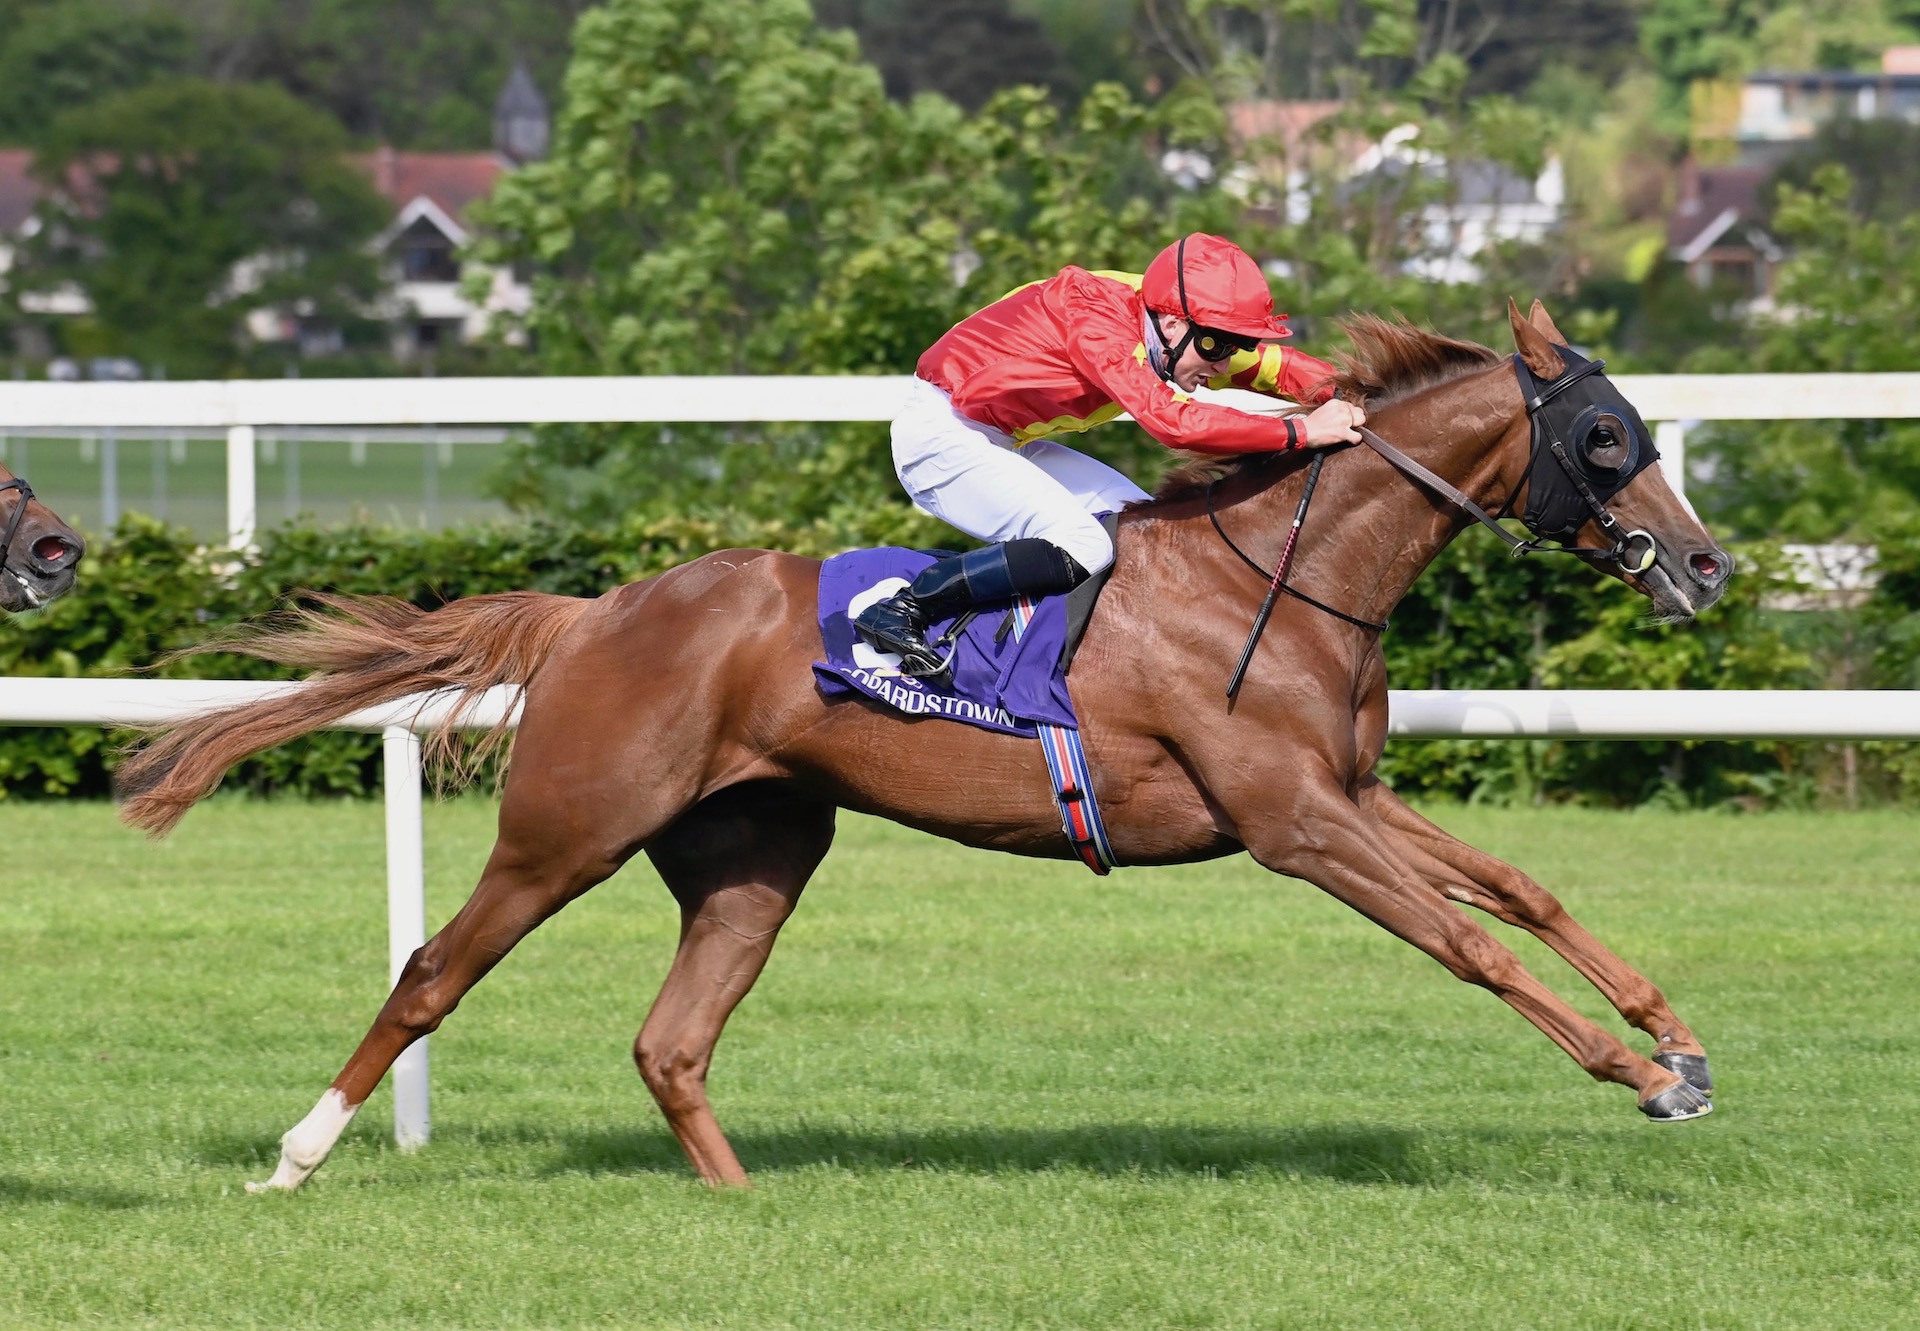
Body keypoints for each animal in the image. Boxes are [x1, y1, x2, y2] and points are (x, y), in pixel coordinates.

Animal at [127, 305, 1735, 1190]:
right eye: (1605, 437)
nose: (1707, 565)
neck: (1284, 574)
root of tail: (595, 612)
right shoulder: (1294, 822)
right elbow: (1469, 943)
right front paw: (1637, 1071)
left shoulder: (1348, 791)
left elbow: (1519, 887)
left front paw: (1677, 1033)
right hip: (567, 826)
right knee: (430, 972)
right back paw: (297, 1154)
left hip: (756, 851)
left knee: (671, 1039)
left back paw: (748, 1200)